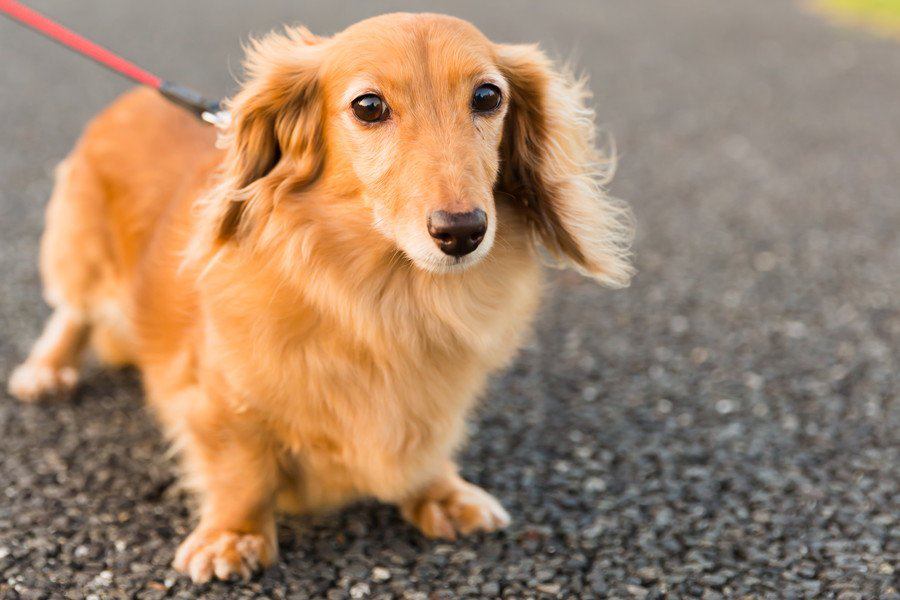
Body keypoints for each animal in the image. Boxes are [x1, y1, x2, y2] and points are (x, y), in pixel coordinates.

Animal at [10, 10, 636, 580]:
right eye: (369, 106)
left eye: (488, 96)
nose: (462, 232)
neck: (386, 300)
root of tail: (136, 96)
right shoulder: (220, 398)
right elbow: (240, 469)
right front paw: (233, 536)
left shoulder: (436, 399)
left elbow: (428, 450)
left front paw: (441, 493)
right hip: (78, 253)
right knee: (72, 313)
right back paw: (46, 371)